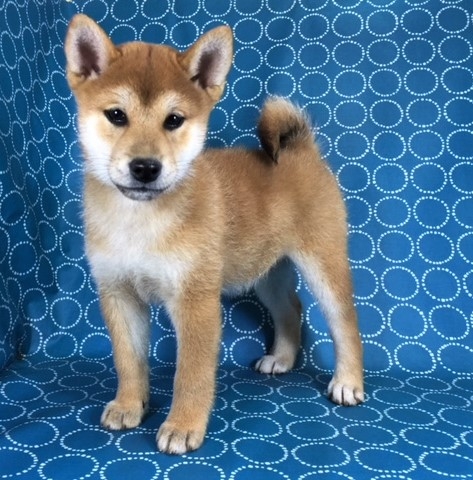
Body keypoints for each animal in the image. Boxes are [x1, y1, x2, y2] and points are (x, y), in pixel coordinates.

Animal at [65, 14, 364, 455]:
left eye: (173, 120)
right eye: (116, 115)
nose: (145, 167)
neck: (140, 220)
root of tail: (301, 148)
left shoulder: (195, 300)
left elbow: (190, 374)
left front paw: (182, 425)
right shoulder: (118, 293)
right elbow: (129, 360)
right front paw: (129, 404)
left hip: (322, 262)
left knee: (344, 322)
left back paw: (348, 382)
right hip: (266, 272)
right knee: (291, 308)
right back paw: (281, 359)